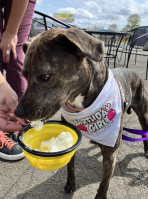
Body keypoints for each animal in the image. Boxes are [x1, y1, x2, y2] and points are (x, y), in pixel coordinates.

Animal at [15, 27, 148, 198]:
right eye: (24, 75)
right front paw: (71, 183)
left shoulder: (110, 155)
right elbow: (70, 166)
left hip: (143, 113)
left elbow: (104, 184)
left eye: (45, 76)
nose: (17, 113)